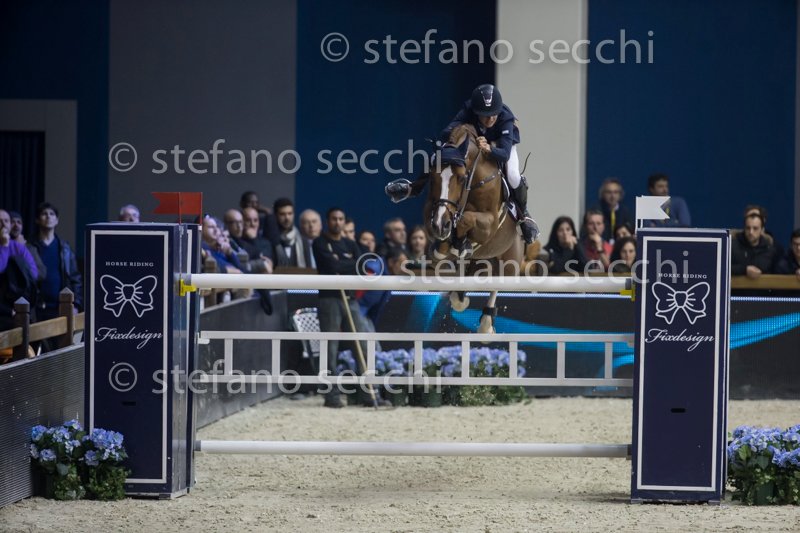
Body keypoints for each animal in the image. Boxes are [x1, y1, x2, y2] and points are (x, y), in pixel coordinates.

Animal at [423, 123, 525, 334]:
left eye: (462, 178)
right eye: (433, 178)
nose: (441, 225)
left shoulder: (490, 223)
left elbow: (466, 219)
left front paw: (458, 242)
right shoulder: (431, 212)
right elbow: (440, 242)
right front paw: (445, 245)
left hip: (510, 261)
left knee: (498, 283)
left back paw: (486, 324)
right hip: (479, 262)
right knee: (464, 279)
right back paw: (459, 294)